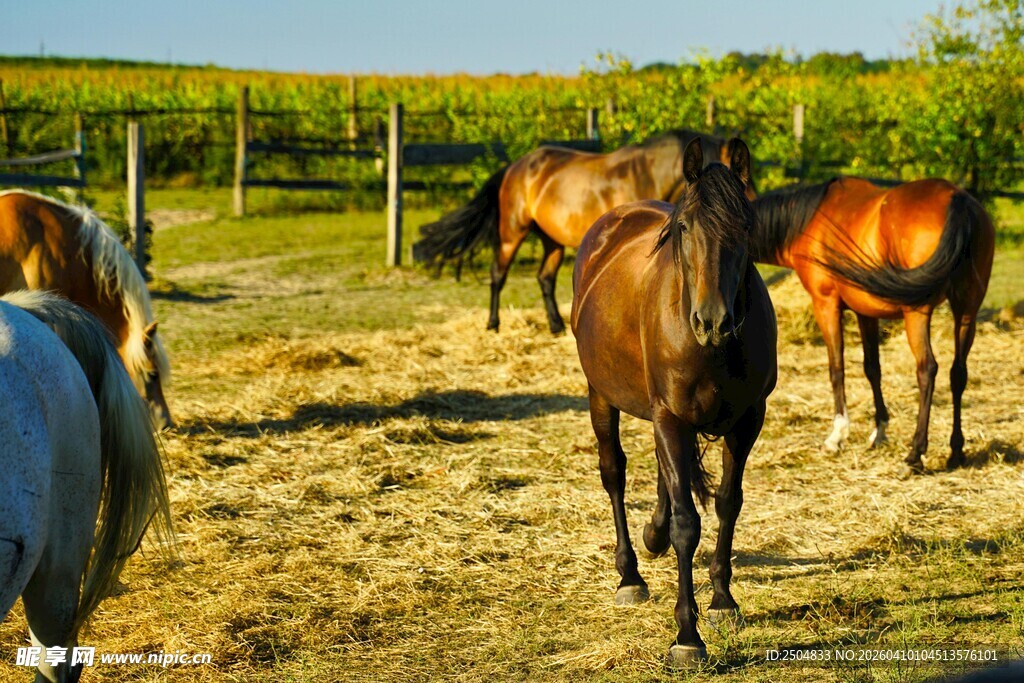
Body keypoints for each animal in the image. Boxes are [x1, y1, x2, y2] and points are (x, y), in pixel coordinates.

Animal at [413, 129, 746, 335]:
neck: (643, 173)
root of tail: (514, 167)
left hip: (552, 241)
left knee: (544, 278)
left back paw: (556, 326)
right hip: (512, 233)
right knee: (498, 274)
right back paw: (493, 324)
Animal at [571, 139, 776, 666]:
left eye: (746, 225)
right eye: (684, 228)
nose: (712, 321)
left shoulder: (748, 420)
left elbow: (727, 502)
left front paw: (723, 600)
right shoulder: (671, 416)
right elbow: (688, 522)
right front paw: (687, 635)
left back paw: (652, 536)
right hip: (602, 395)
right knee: (614, 473)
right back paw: (629, 575)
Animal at [750, 177, 995, 473]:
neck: (807, 221)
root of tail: (956, 199)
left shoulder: (826, 304)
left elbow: (837, 368)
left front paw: (837, 435)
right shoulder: (865, 312)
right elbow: (872, 369)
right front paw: (879, 432)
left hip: (917, 313)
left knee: (927, 369)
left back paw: (915, 453)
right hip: (967, 310)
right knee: (958, 373)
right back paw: (956, 451)